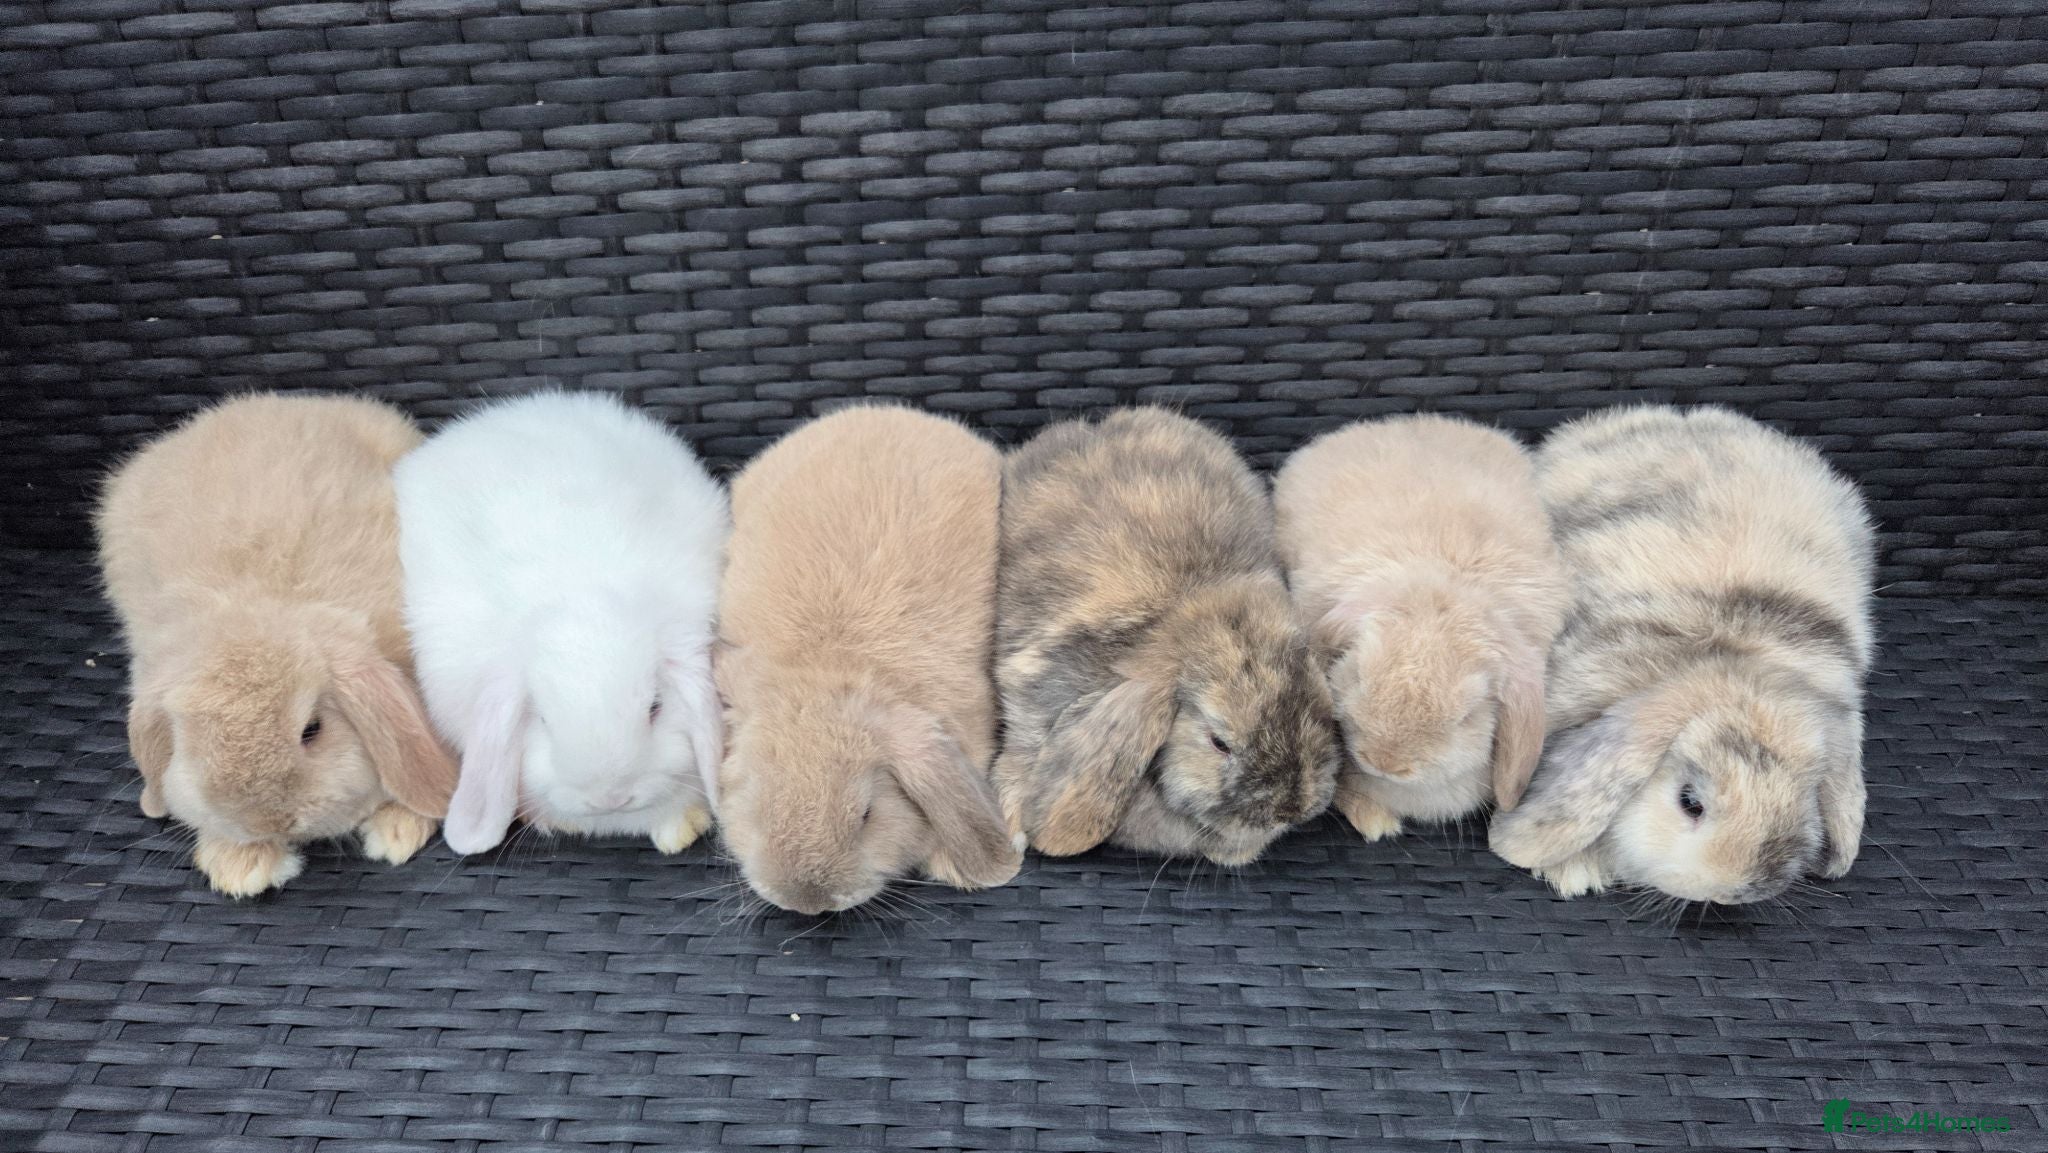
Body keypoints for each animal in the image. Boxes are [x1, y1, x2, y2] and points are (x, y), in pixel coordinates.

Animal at [96, 393, 459, 898]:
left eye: (312, 729)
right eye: (191, 742)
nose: (270, 821)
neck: (261, 606)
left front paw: (399, 829)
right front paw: (239, 867)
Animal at [1274, 414, 1569, 841]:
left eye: (1467, 718)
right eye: (1356, 676)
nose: (1384, 761)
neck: (1444, 578)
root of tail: (1406, 421)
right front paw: (1376, 821)